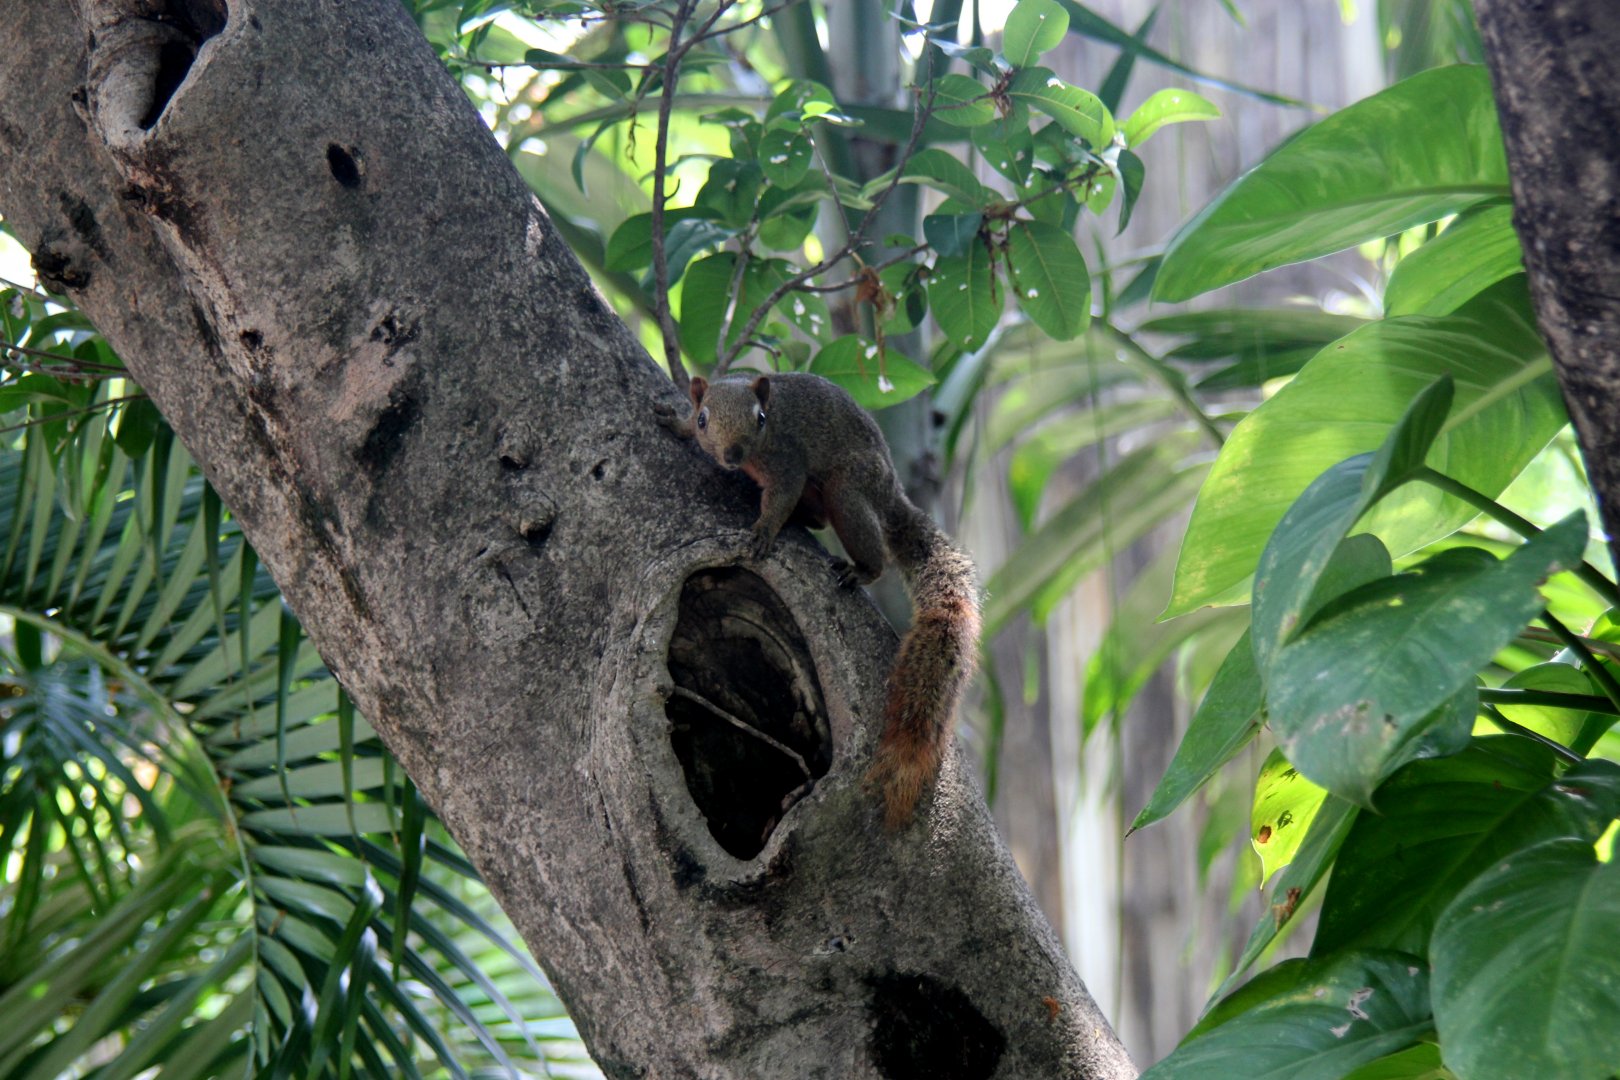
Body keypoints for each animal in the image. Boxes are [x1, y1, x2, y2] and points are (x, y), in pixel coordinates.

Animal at [657, 372, 980, 827]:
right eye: (703, 419)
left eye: (760, 419)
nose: (732, 455)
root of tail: (890, 490)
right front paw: (673, 422)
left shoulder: (787, 462)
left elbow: (779, 498)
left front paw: (763, 532)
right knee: (819, 516)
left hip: (847, 487)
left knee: (861, 536)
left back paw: (861, 569)